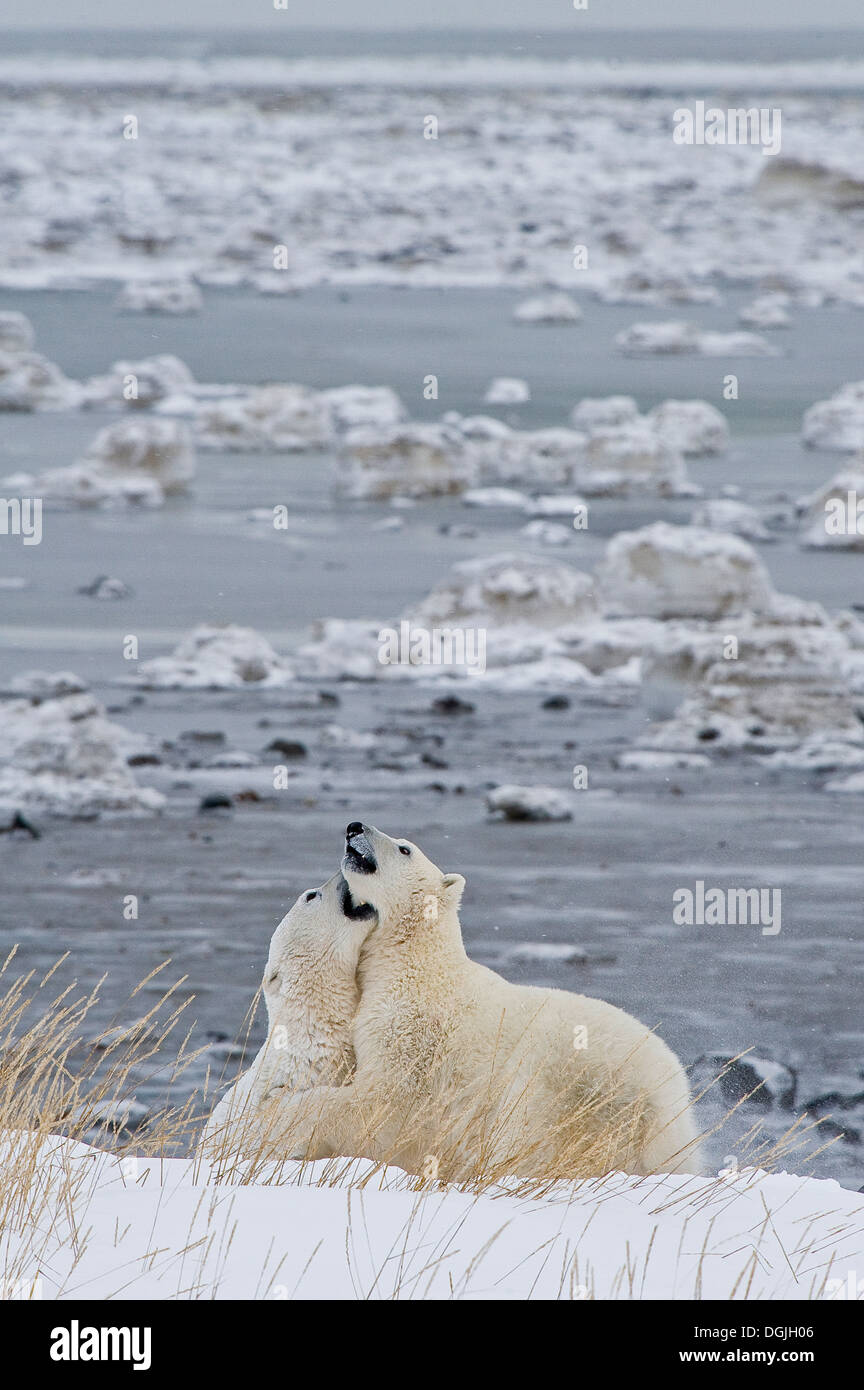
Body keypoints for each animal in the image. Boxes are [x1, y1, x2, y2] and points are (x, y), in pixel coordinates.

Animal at [269, 822, 705, 1184]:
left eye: (404, 847)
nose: (354, 826)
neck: (414, 962)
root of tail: (671, 1106)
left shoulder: (417, 1036)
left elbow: (382, 1101)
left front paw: (284, 1112)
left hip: (568, 1088)